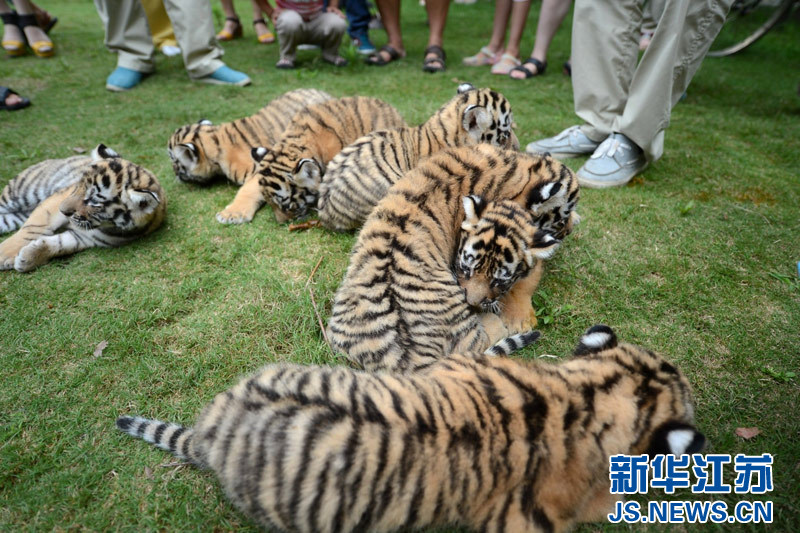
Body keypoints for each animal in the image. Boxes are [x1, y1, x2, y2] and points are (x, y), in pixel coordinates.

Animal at [0, 144, 165, 273]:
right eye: (78, 186)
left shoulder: (86, 238)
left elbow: (60, 244)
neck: (108, 226)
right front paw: (4, 254)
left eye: (94, 201)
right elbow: (34, 226)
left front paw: (27, 258)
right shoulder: (58, 197)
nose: (62, 210)